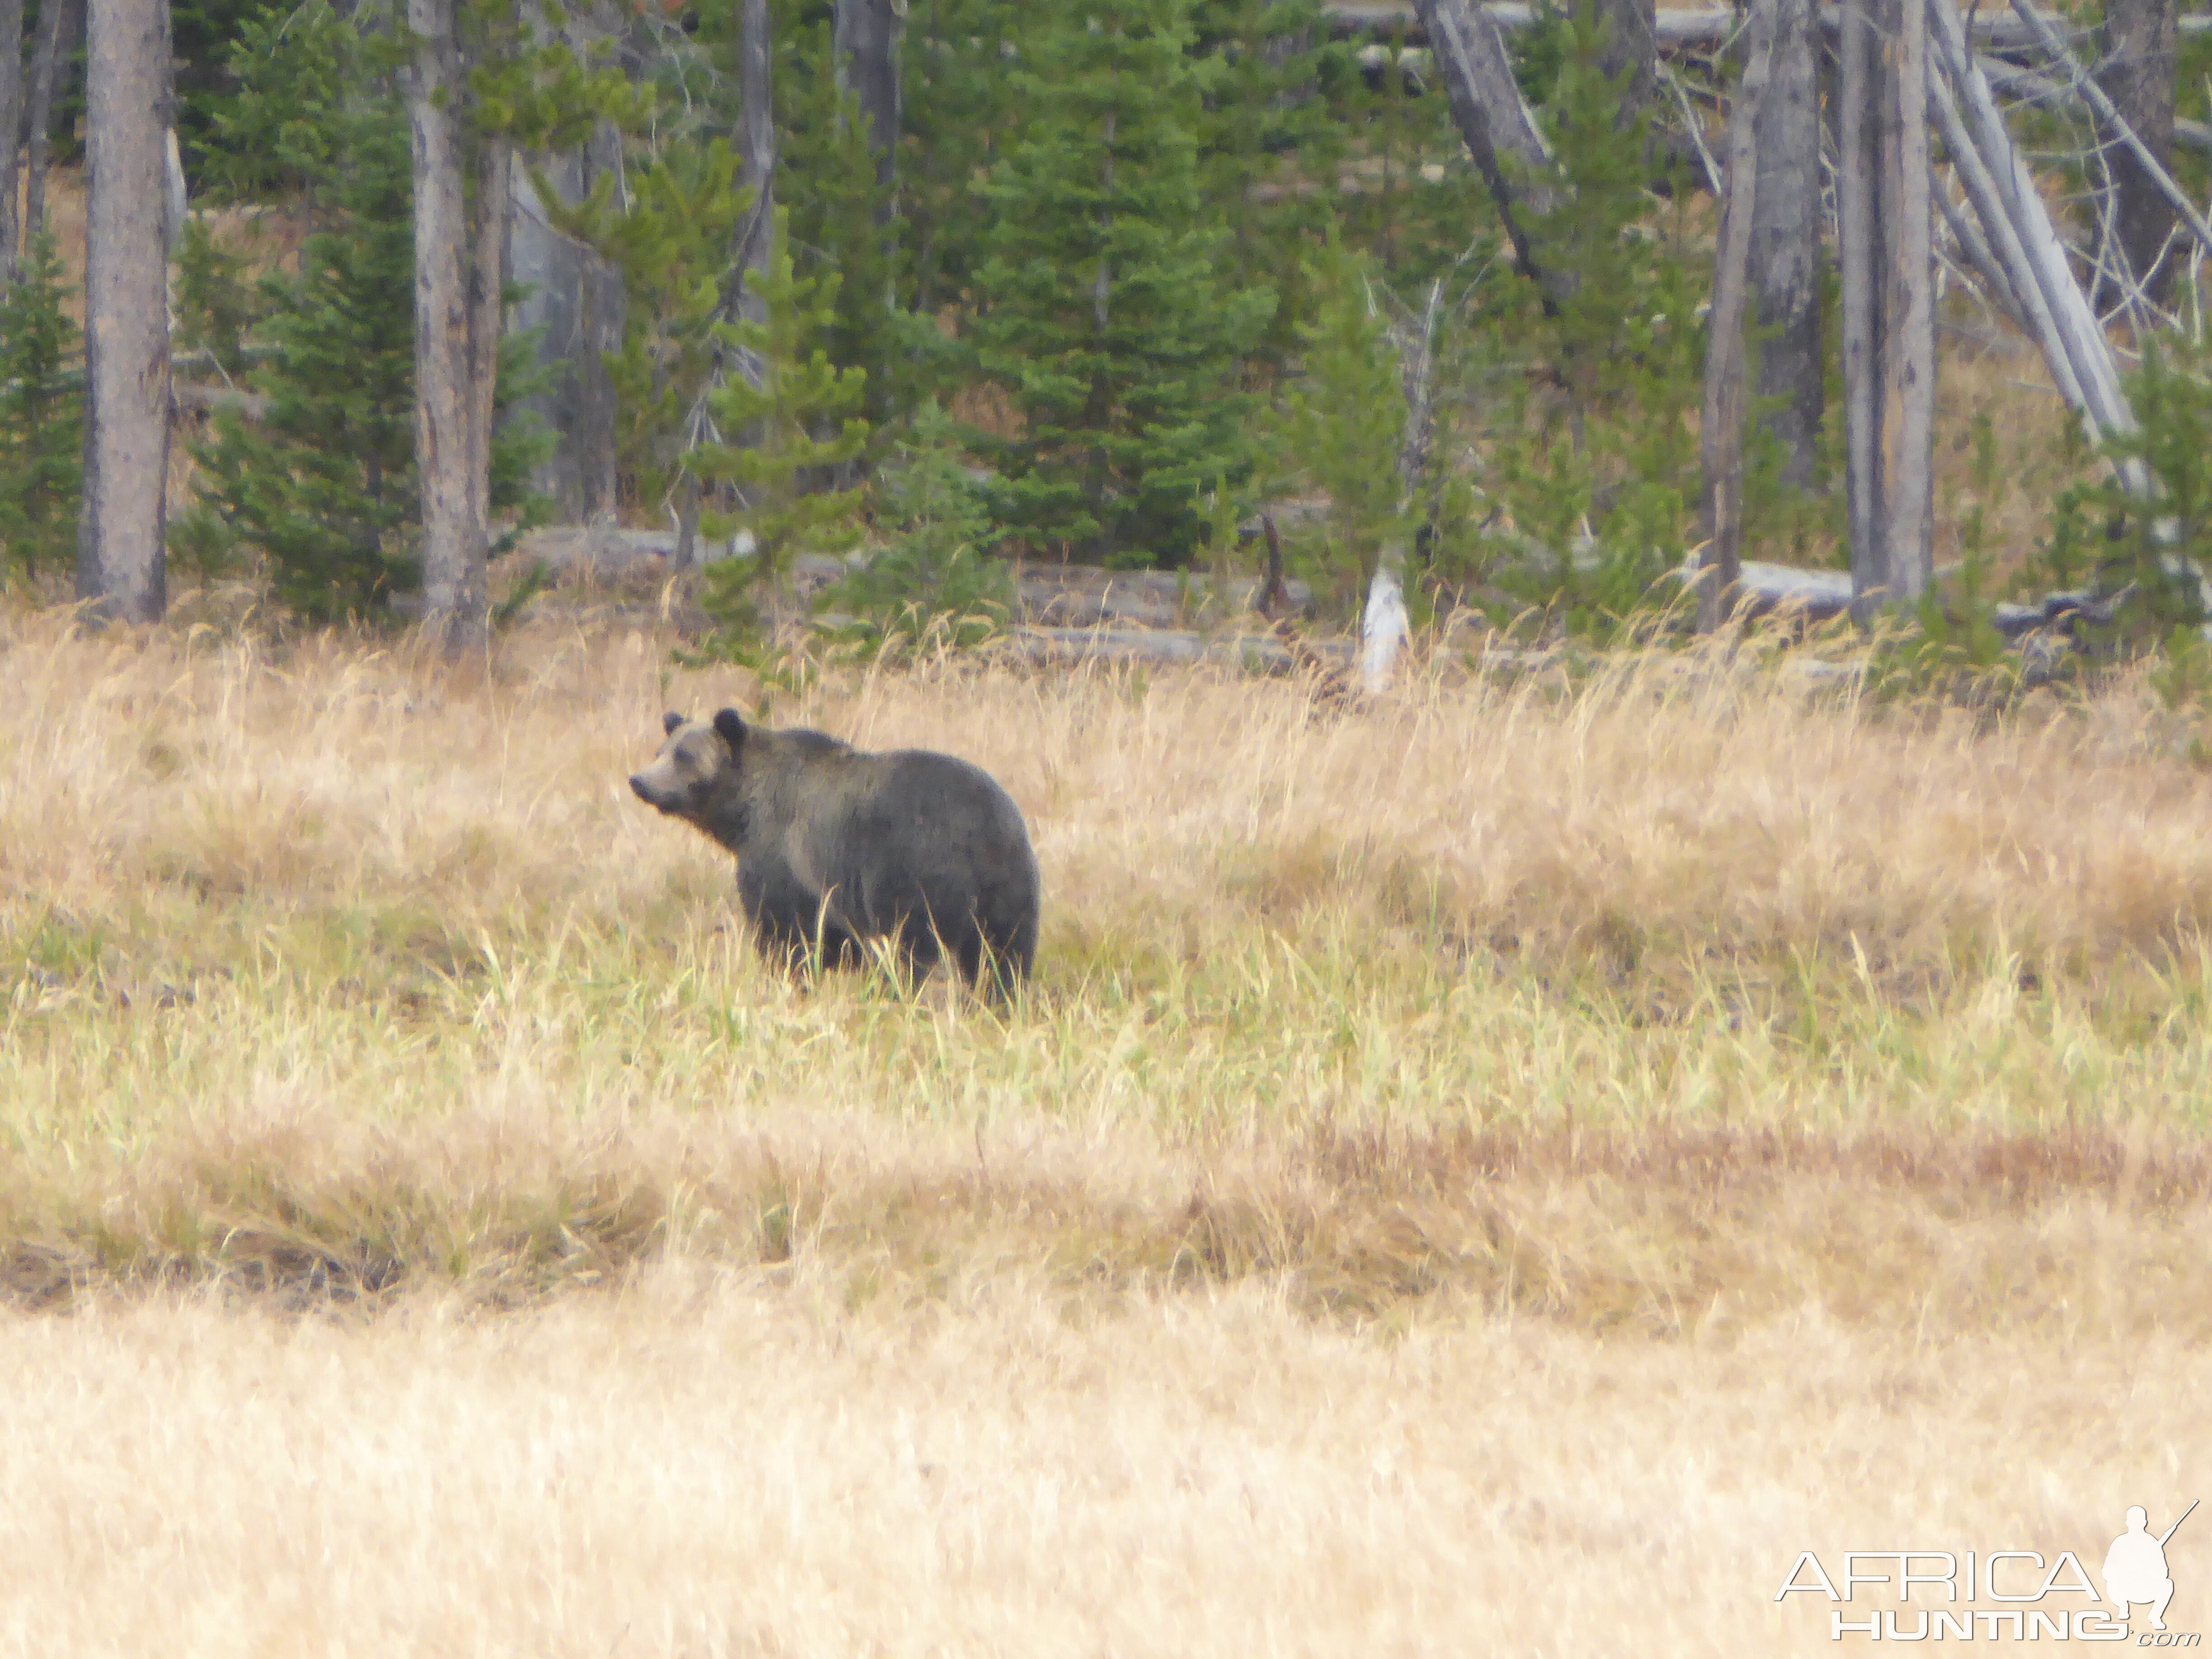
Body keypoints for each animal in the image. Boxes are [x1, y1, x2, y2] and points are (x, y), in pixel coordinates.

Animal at [623, 708, 1035, 995]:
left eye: (684, 756)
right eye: (661, 750)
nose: (639, 781)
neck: (742, 815)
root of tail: (982, 829)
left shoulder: (786, 860)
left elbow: (786, 932)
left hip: (914, 869)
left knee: (912, 948)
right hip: (1013, 884)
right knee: (1006, 957)